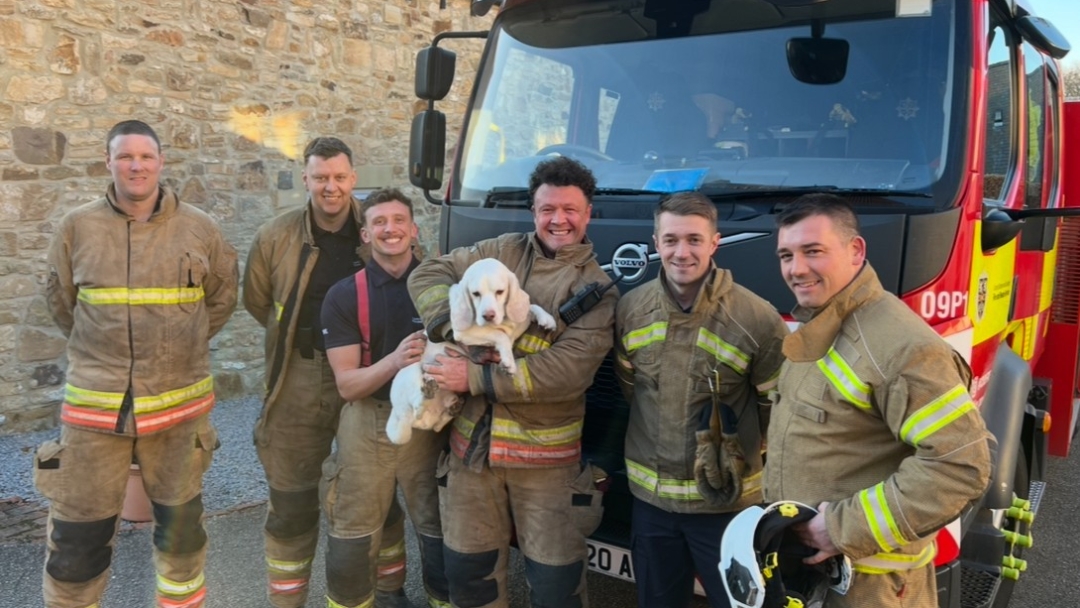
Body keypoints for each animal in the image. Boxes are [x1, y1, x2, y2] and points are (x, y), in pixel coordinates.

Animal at [388, 259, 557, 444]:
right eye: (476, 294)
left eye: (500, 292)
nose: (488, 315)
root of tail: (400, 416)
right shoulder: (465, 333)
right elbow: (500, 335)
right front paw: (508, 363)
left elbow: (530, 307)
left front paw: (546, 318)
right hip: (411, 374)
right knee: (417, 406)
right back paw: (427, 390)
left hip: (443, 407)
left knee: (436, 424)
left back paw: (452, 406)